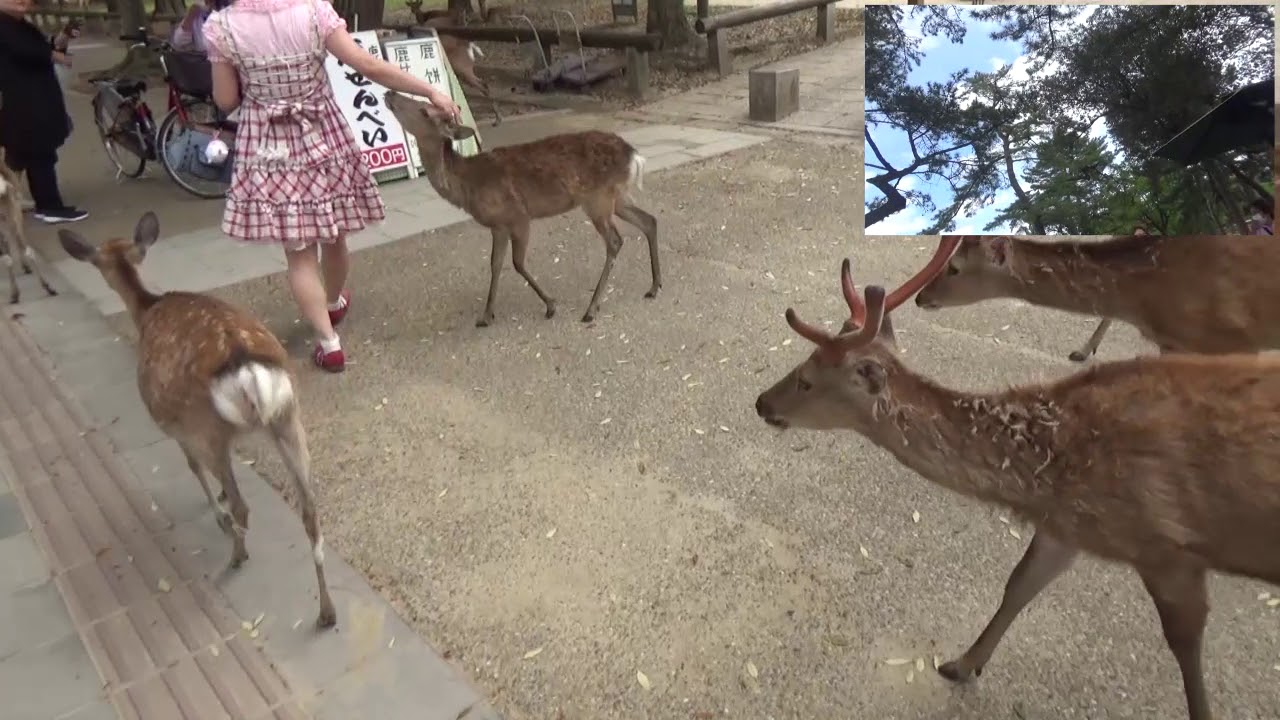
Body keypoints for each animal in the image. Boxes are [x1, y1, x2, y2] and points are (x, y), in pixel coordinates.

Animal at [57, 212, 337, 629]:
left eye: (97, 262)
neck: (146, 310)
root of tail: (247, 369)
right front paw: (218, 500)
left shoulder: (171, 421)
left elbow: (191, 466)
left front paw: (217, 512)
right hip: (287, 418)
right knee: (310, 511)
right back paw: (326, 612)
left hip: (208, 425)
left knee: (241, 504)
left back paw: (236, 554)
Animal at [384, 90, 660, 327]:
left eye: (424, 110)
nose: (389, 93)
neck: (468, 185)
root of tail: (634, 156)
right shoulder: (497, 225)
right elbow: (495, 263)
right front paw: (486, 315)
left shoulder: (519, 216)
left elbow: (517, 263)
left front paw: (550, 305)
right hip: (617, 197)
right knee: (649, 220)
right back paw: (654, 287)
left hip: (597, 199)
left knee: (615, 240)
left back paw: (591, 308)